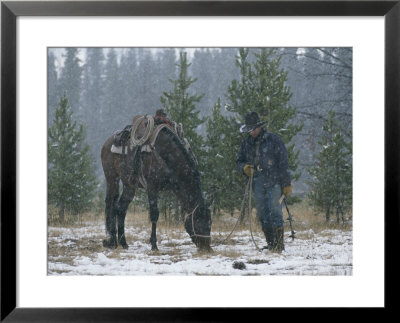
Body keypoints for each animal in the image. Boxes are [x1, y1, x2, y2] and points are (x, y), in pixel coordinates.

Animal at [100, 116, 212, 253]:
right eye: (198, 221)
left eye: (210, 223)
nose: (207, 248)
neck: (167, 153)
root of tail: (107, 143)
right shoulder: (152, 187)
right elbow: (154, 214)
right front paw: (154, 245)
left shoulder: (175, 187)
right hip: (112, 178)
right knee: (110, 204)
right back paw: (111, 241)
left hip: (129, 185)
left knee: (121, 208)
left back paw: (123, 242)